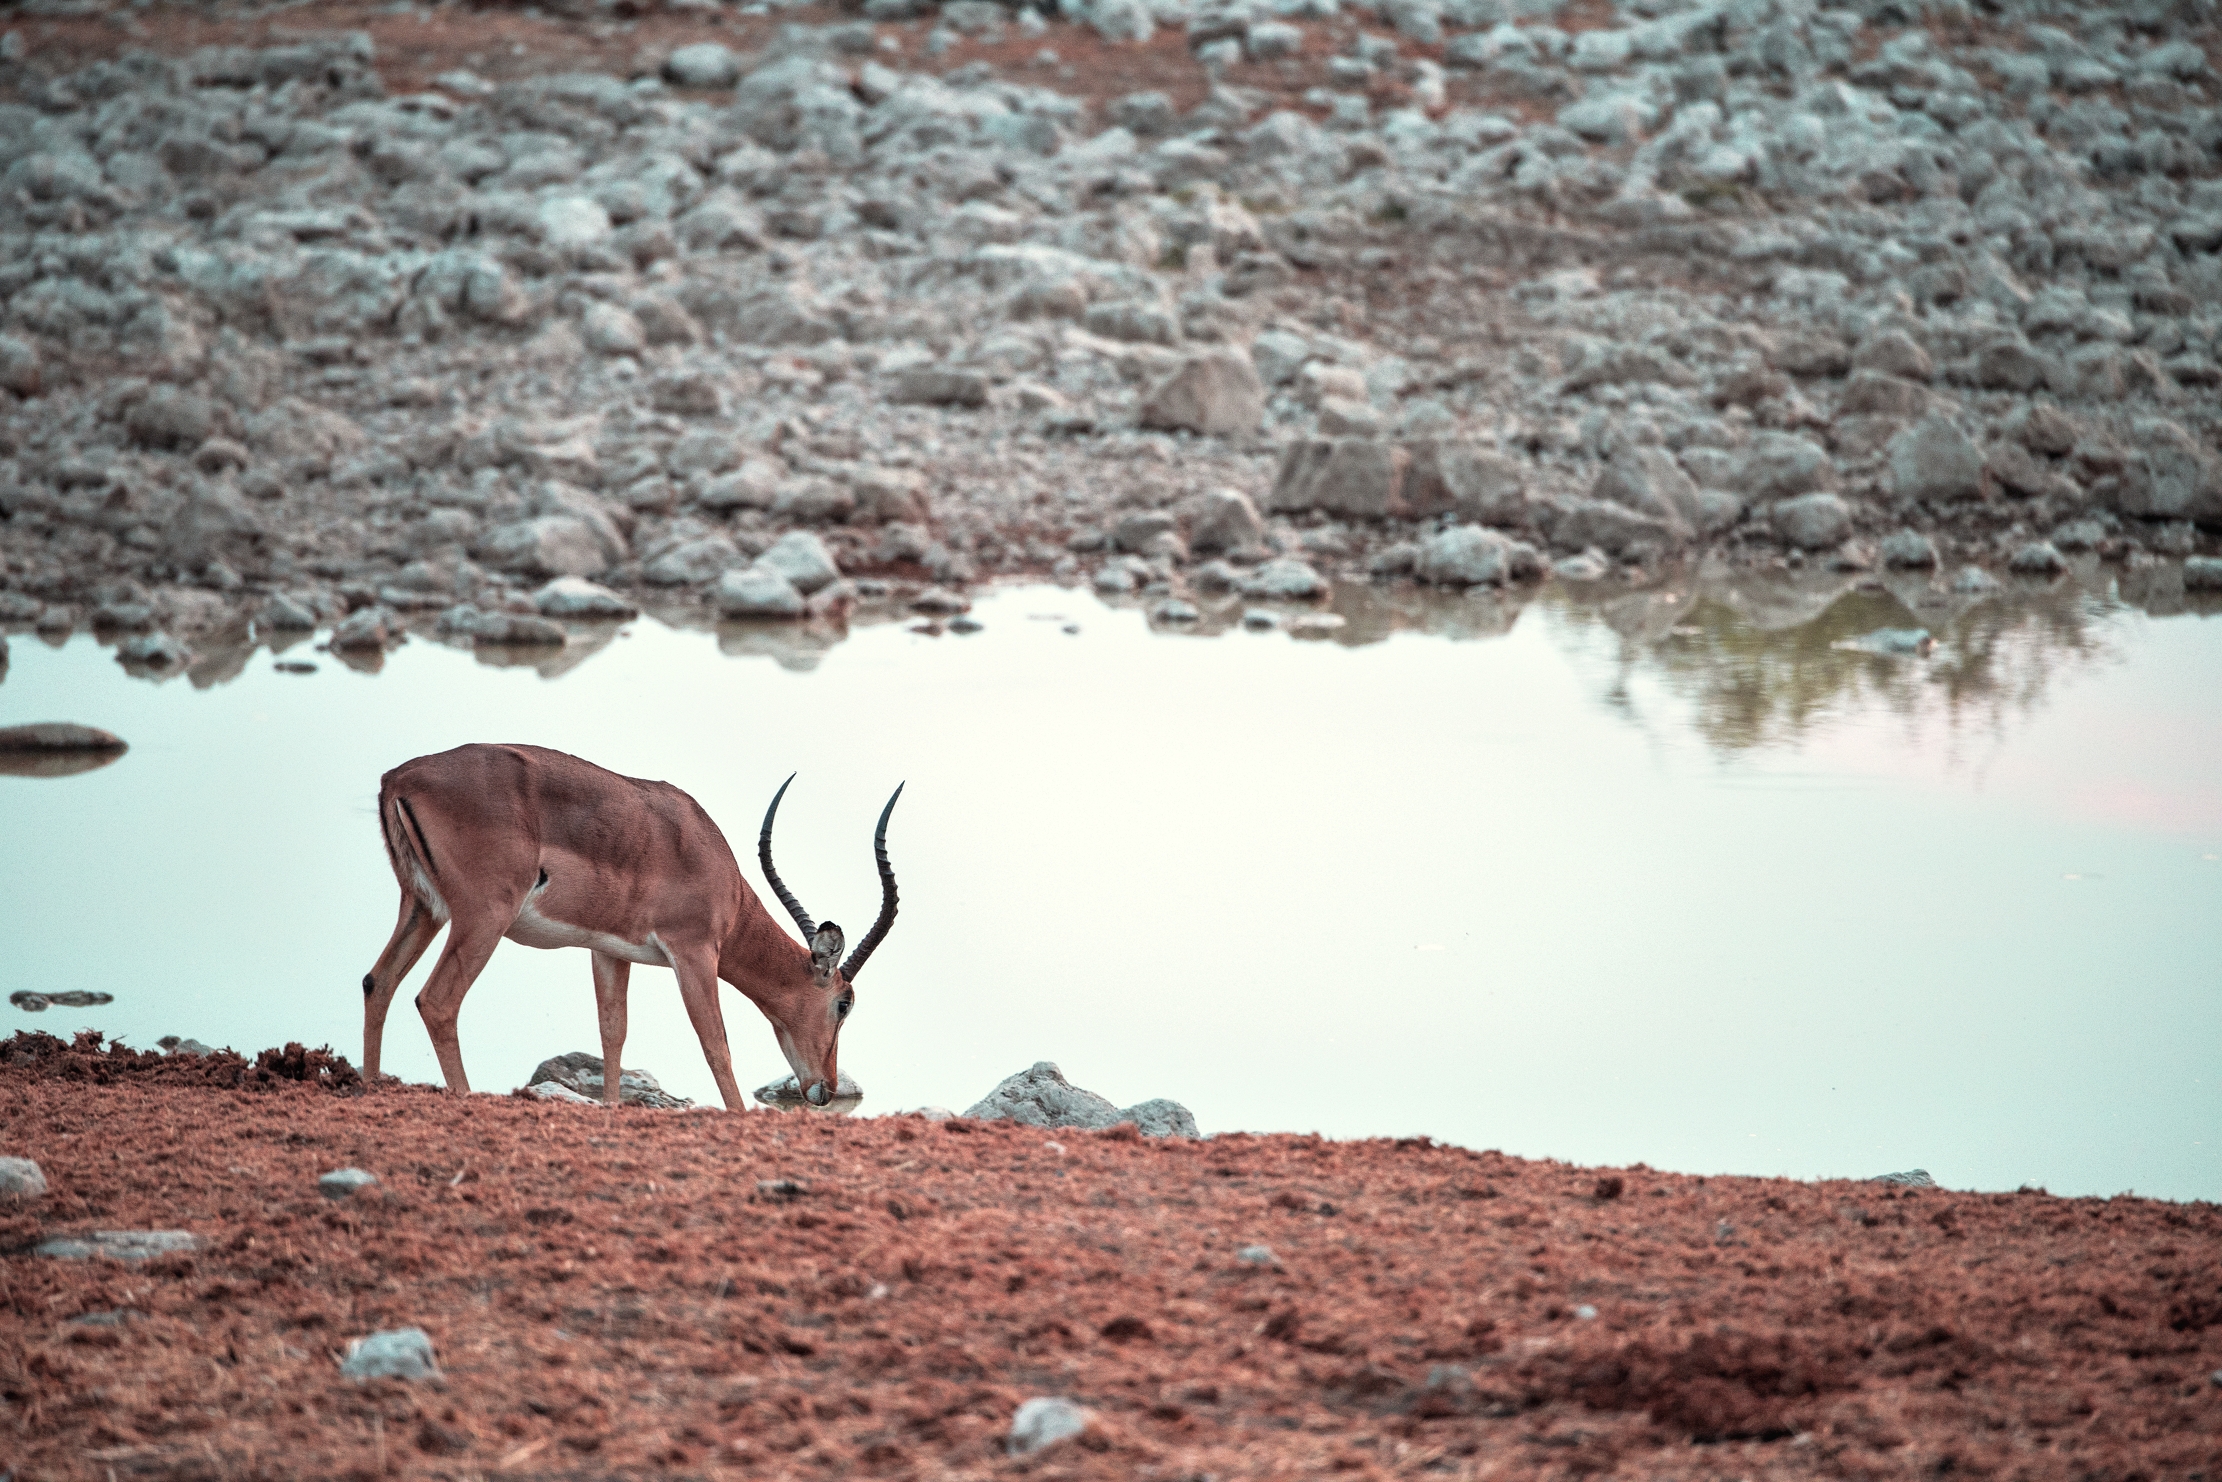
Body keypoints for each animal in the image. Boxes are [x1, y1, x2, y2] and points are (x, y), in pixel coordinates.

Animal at [360, 743, 901, 1111]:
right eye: (844, 1004)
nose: (825, 1089)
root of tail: (398, 778)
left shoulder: (609, 950)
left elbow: (612, 1032)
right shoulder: (694, 953)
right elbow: (716, 1044)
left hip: (424, 909)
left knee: (377, 982)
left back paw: (366, 1088)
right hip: (483, 918)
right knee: (436, 1000)